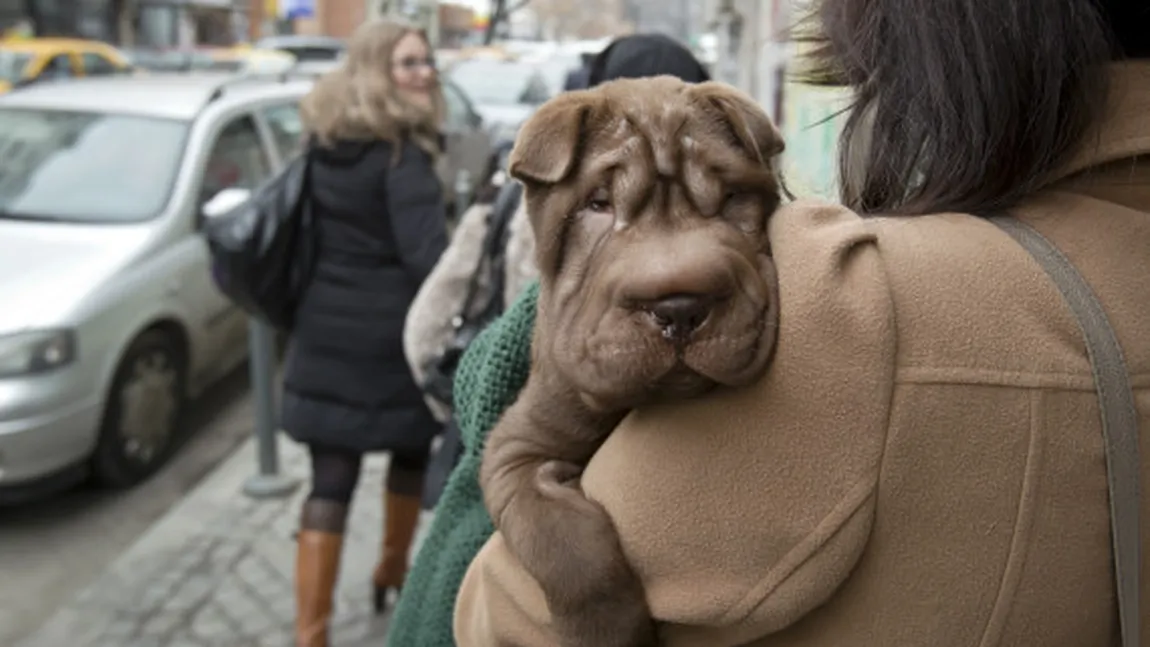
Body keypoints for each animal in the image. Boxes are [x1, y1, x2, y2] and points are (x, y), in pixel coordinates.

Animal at [480, 76, 786, 647]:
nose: (680, 307)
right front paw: (607, 629)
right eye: (598, 205)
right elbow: (563, 541)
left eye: (731, 199)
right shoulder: (517, 448)